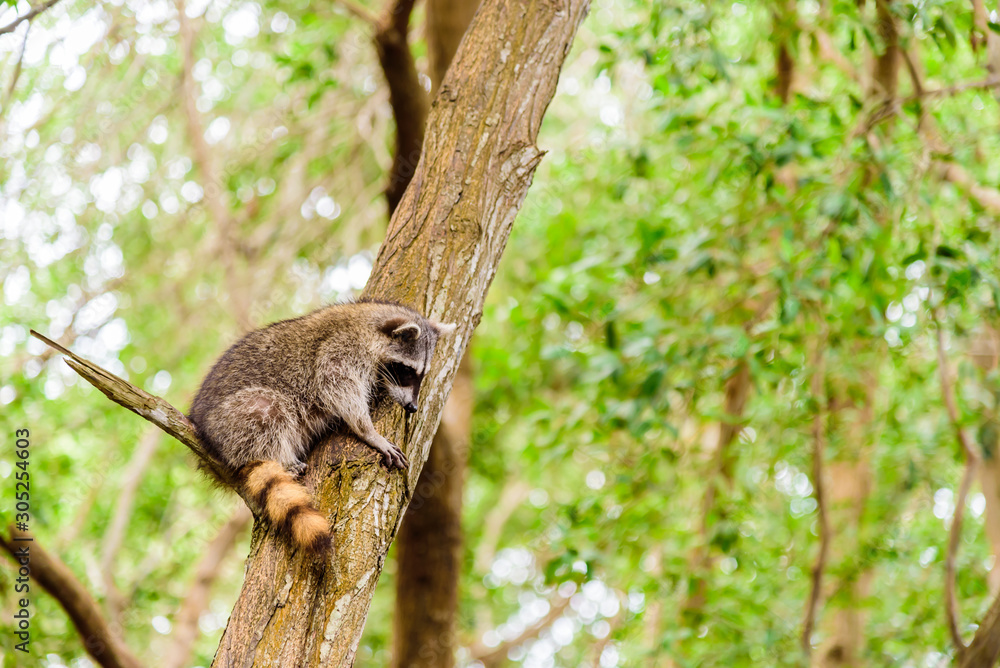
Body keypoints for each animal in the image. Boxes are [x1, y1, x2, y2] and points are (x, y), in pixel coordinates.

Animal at [188, 302, 458, 552]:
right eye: (406, 370)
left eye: (421, 374)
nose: (412, 407)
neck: (368, 321)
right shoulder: (339, 350)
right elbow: (336, 387)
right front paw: (368, 431)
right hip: (231, 420)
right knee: (268, 409)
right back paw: (281, 457)